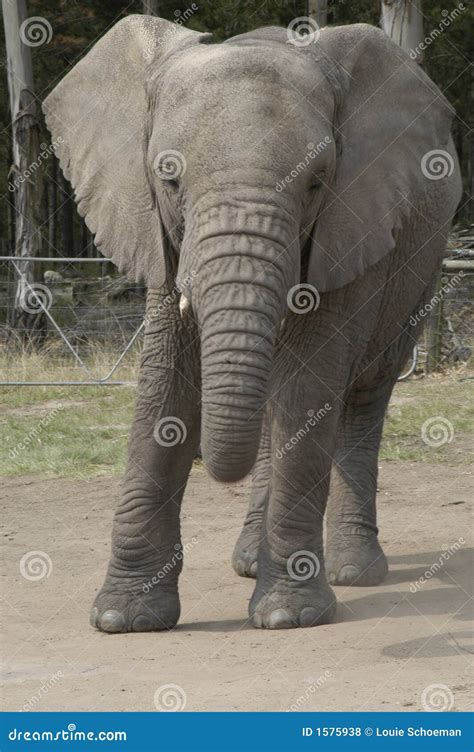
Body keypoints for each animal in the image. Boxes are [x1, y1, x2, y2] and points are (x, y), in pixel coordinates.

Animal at [42, 14, 462, 632]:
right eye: (168, 178)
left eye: (317, 181)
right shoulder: (159, 234)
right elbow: (165, 384)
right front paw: (123, 619)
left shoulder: (353, 221)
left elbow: (308, 384)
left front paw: (289, 615)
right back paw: (247, 561)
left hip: (424, 260)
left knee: (364, 392)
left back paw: (353, 570)